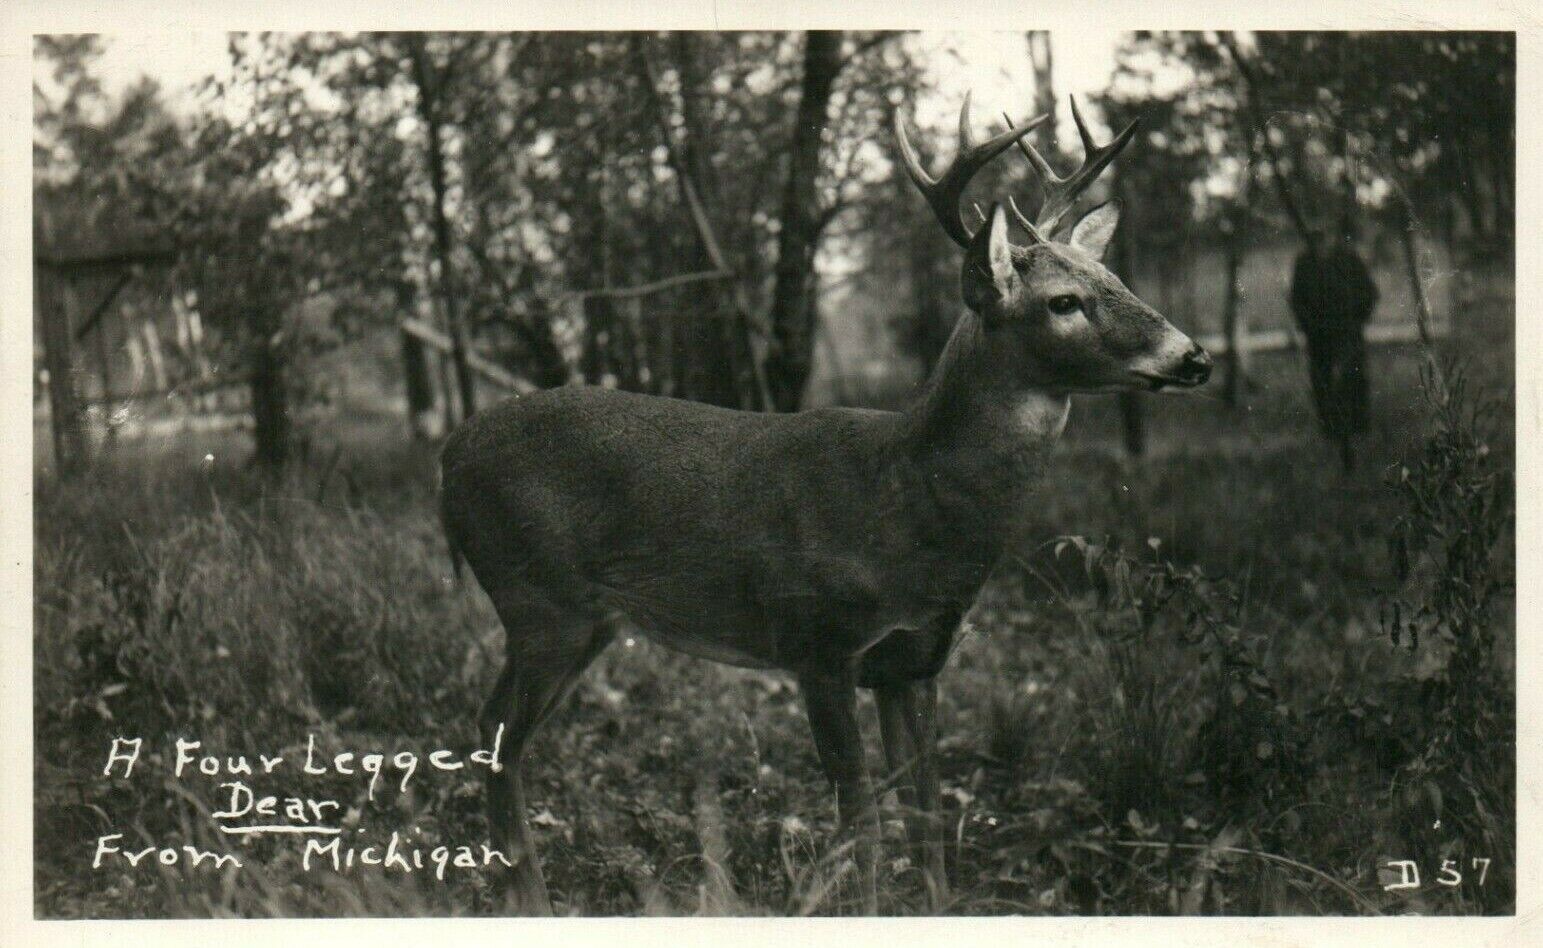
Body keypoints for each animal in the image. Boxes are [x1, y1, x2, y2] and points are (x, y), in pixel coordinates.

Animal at [441, 93, 1209, 920]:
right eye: (1063, 303)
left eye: (1114, 276)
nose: (1193, 357)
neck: (906, 499)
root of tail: (448, 453)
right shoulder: (818, 642)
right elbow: (861, 824)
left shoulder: (914, 660)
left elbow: (926, 818)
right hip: (540, 600)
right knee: (494, 731)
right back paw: (531, 900)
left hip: (584, 620)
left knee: (499, 734)